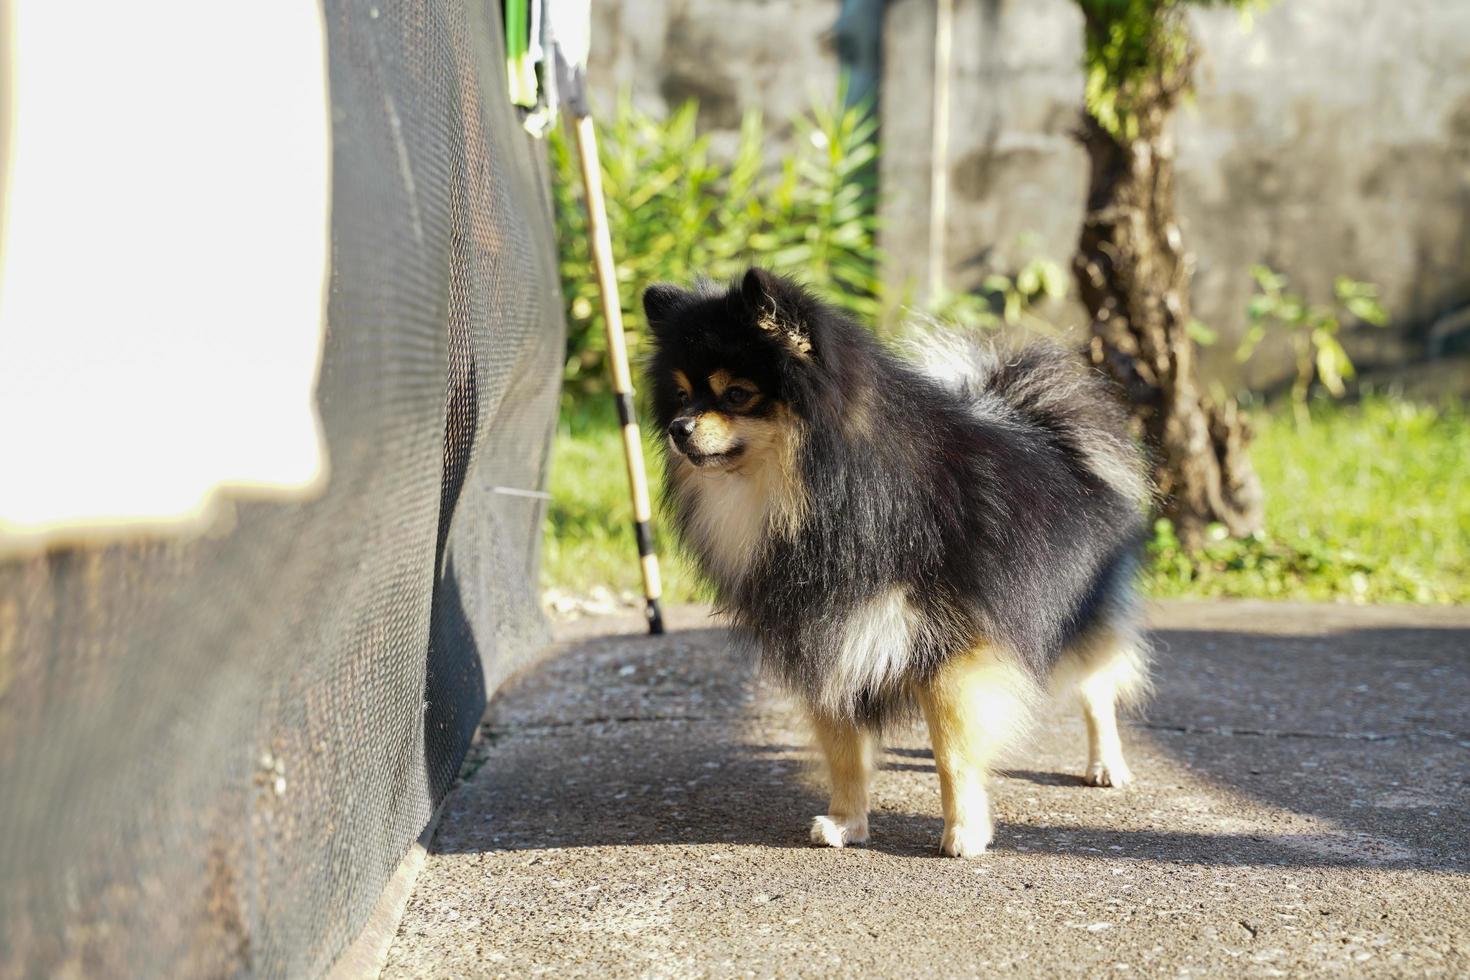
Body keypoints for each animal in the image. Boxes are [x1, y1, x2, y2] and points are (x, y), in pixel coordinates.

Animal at [643, 268, 1146, 858]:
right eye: (681, 394)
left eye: (737, 394)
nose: (678, 427)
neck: (828, 499)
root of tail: (1047, 428)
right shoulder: (826, 633)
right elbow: (843, 747)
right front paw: (846, 822)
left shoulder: (952, 647)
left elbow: (953, 751)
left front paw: (963, 832)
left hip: (1080, 614)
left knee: (1097, 689)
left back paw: (1106, 763)